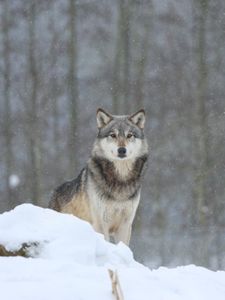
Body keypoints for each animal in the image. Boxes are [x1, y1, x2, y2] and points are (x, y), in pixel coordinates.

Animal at [49, 109, 148, 245]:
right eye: (113, 135)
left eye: (129, 135)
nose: (122, 150)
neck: (120, 179)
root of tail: (54, 192)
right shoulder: (101, 224)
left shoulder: (125, 225)